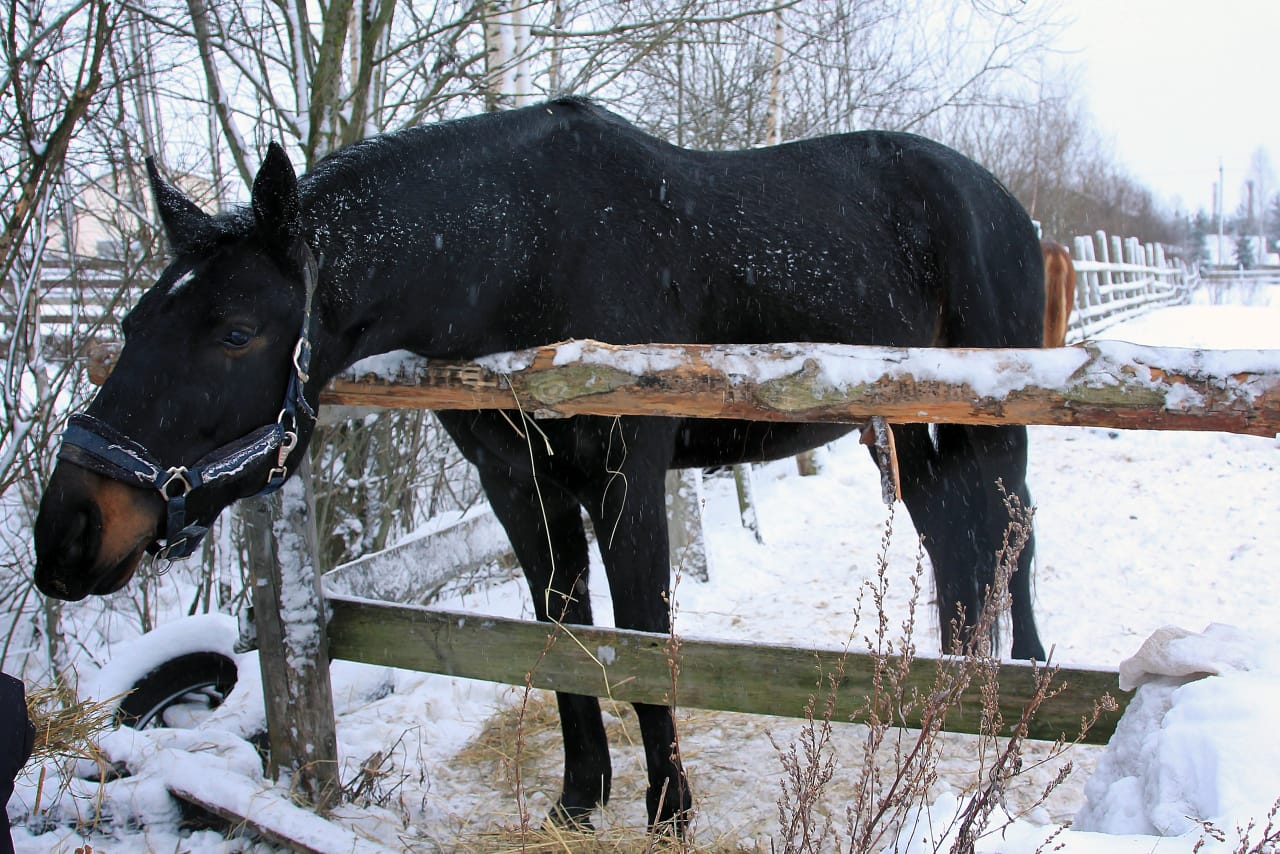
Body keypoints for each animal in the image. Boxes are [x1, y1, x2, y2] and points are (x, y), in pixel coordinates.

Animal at [35, 96, 1044, 829]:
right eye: (134, 321)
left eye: (237, 332)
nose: (69, 533)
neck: (522, 258)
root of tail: (1004, 203)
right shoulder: (519, 486)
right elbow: (560, 631)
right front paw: (577, 799)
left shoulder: (628, 480)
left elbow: (639, 637)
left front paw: (668, 813)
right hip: (910, 424)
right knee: (955, 538)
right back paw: (951, 693)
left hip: (997, 418)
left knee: (1012, 536)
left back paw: (1018, 709)